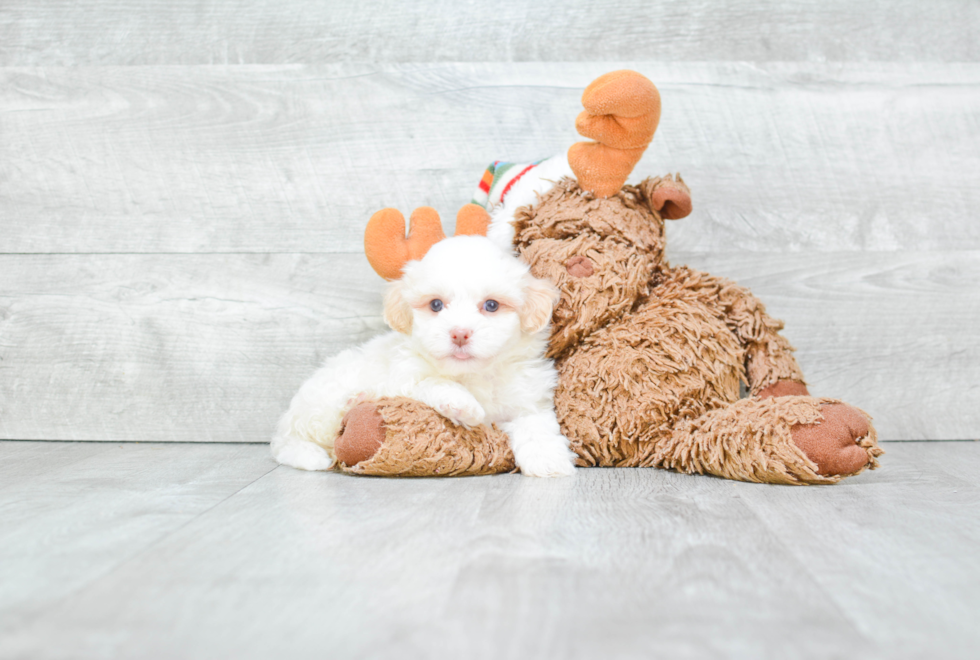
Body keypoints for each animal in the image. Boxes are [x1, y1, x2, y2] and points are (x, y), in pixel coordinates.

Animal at [270, 235, 576, 476]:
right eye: (436, 305)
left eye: (491, 305)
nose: (459, 334)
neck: (473, 374)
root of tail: (285, 423)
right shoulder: (404, 377)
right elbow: (434, 383)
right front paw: (463, 404)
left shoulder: (528, 399)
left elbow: (537, 425)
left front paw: (549, 460)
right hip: (320, 406)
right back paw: (353, 404)